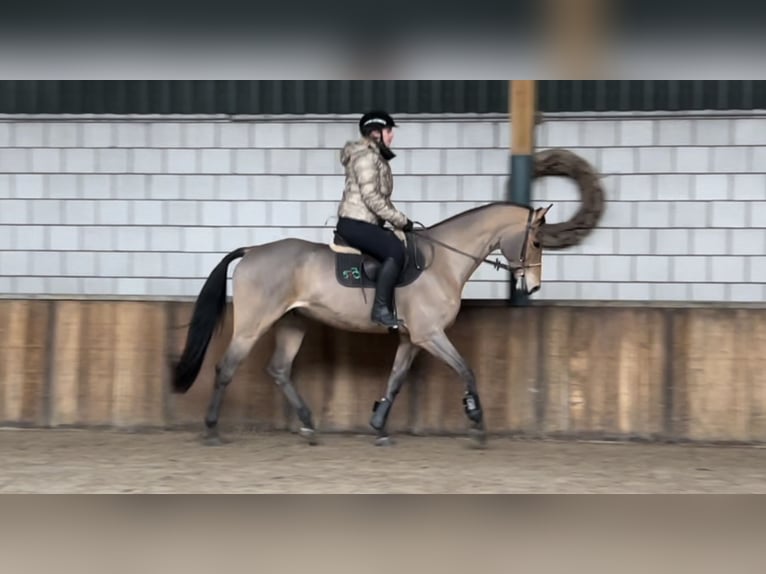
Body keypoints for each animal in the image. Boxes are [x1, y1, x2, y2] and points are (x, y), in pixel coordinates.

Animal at [170, 202, 552, 450]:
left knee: (278, 369)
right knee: (226, 368)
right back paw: (212, 430)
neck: (442, 262)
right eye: (536, 242)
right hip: (253, 324)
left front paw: (379, 427)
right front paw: (477, 422)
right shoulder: (430, 335)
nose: (533, 287)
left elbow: (396, 380)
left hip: (294, 323)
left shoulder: (412, 339)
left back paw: (309, 426)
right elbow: (467, 370)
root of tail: (252, 250)